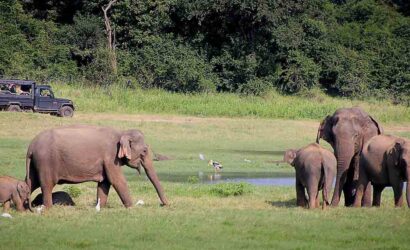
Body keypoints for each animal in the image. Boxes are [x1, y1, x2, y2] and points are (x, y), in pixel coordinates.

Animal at [24, 125, 168, 209]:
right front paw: (131, 207)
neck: (122, 132)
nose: (164, 204)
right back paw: (48, 208)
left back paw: (24, 207)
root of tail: (31, 146)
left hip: (36, 164)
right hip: (46, 162)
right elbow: (117, 180)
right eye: (144, 151)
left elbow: (104, 183)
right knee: (47, 184)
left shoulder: (106, 161)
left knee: (30, 182)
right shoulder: (111, 157)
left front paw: (100, 207)